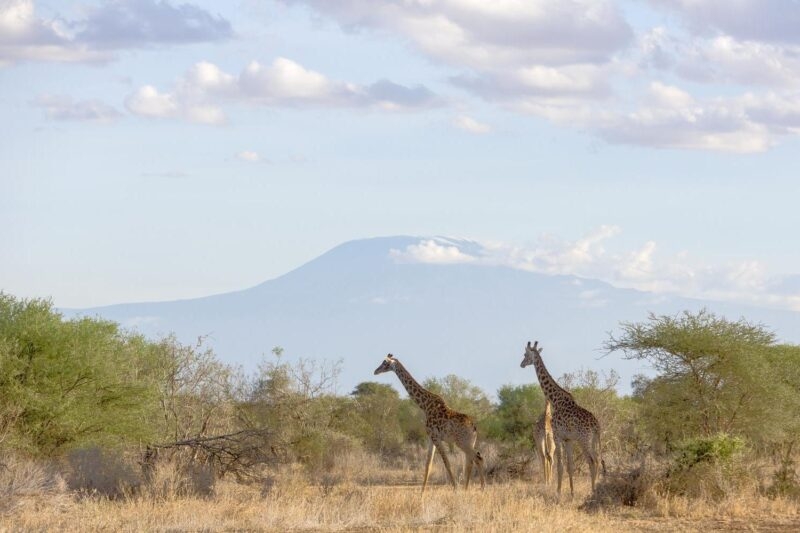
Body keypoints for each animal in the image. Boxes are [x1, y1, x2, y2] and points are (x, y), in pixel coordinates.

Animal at [374, 353, 486, 492]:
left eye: (385, 363)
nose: (375, 371)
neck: (425, 405)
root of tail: (474, 427)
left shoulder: (436, 437)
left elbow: (446, 463)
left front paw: (455, 489)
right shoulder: (431, 438)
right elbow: (428, 465)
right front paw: (422, 493)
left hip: (462, 443)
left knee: (478, 458)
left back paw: (482, 488)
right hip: (468, 442)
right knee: (471, 460)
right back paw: (467, 489)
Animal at [520, 341, 605, 496]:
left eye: (525, 354)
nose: (521, 364)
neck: (556, 401)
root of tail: (596, 425)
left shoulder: (557, 436)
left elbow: (559, 465)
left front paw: (558, 492)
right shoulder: (568, 439)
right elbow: (570, 465)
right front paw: (571, 492)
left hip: (584, 439)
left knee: (592, 460)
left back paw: (593, 491)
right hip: (593, 439)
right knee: (597, 459)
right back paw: (594, 488)